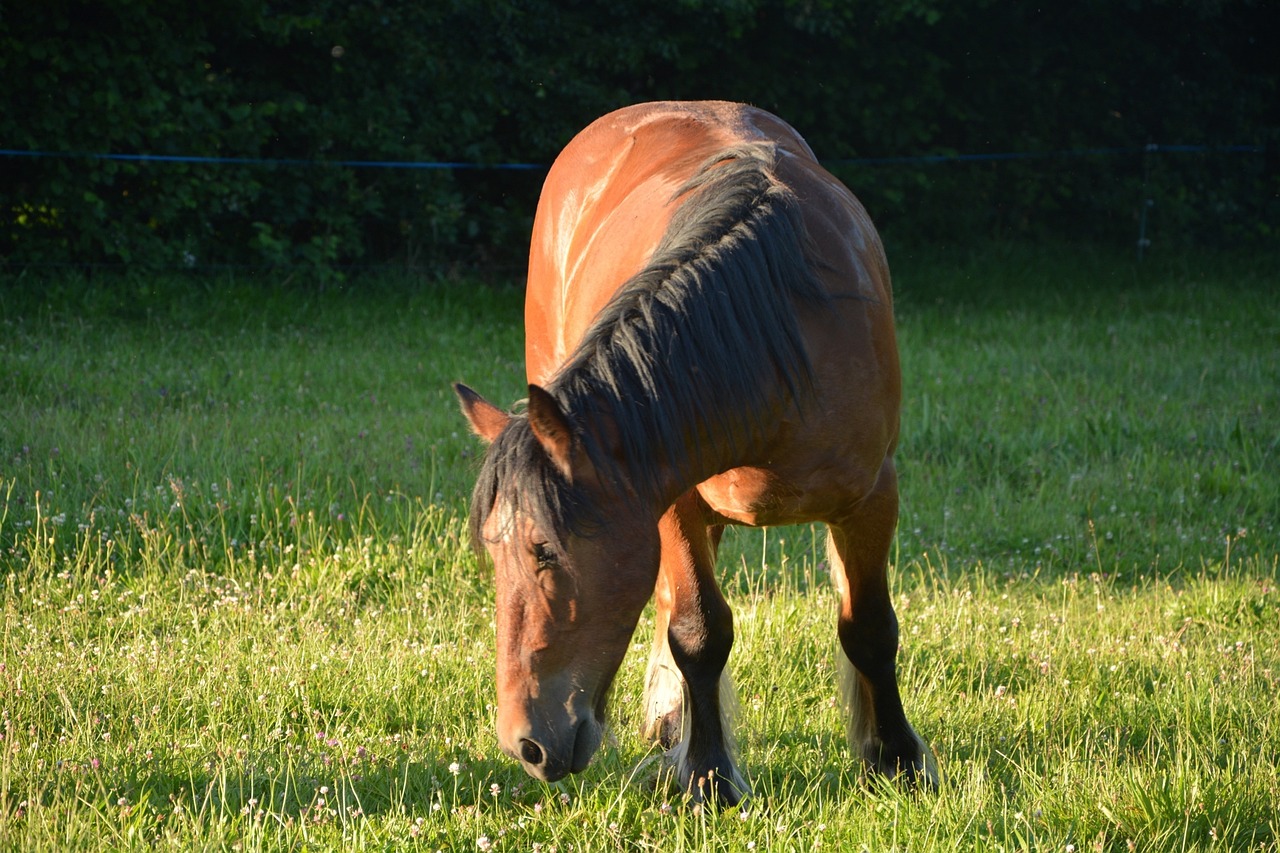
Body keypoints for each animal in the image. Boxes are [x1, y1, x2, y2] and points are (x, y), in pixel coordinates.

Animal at [455, 101, 936, 804]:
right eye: (492, 553)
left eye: (544, 550)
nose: (526, 745)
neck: (775, 337)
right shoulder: (668, 502)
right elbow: (699, 631)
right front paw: (708, 776)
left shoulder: (871, 497)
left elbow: (869, 628)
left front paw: (896, 760)